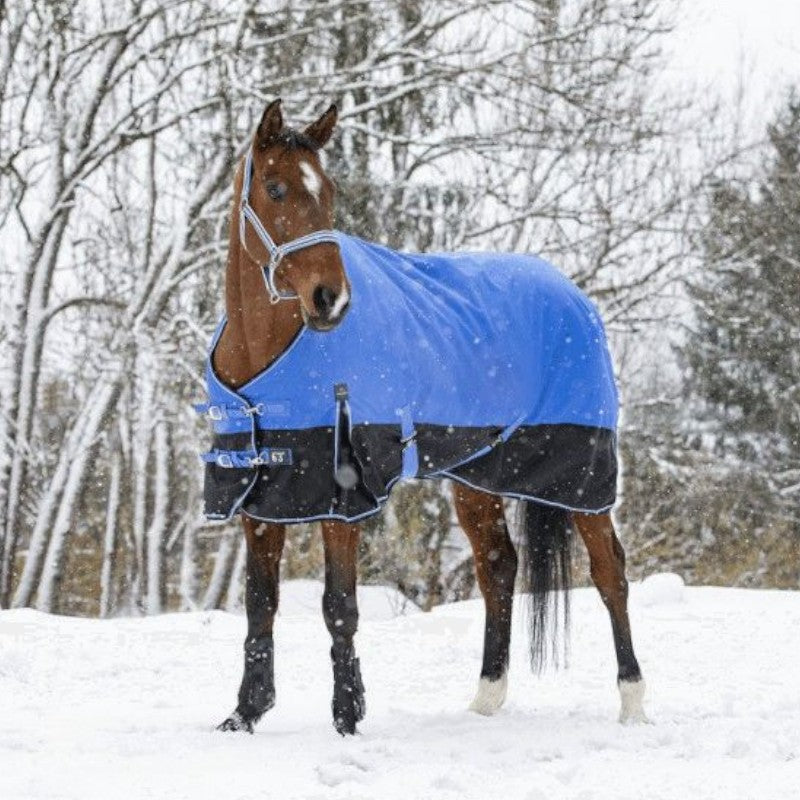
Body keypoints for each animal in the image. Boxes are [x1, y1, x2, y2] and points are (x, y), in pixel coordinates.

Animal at [202, 99, 645, 735]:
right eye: (275, 187)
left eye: (329, 191)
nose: (330, 298)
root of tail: (577, 297)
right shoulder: (259, 497)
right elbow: (260, 603)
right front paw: (245, 713)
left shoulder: (342, 495)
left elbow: (339, 606)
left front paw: (347, 717)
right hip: (477, 478)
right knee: (499, 568)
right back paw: (486, 698)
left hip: (581, 474)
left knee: (611, 573)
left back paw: (632, 703)